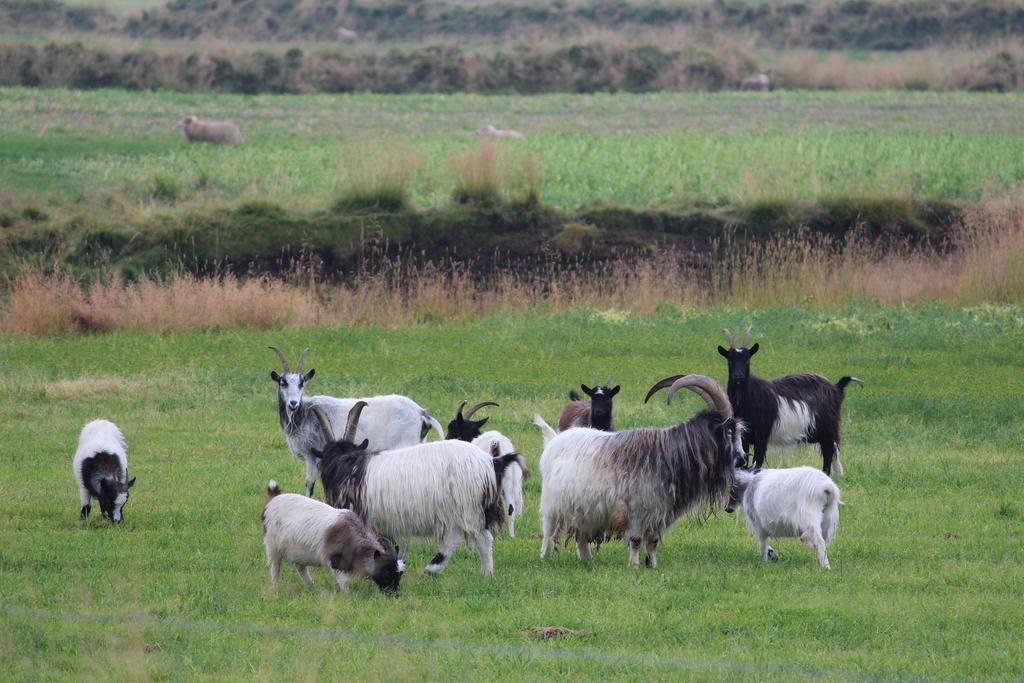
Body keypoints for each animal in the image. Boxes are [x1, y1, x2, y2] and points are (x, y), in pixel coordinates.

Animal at [260, 481, 403, 593]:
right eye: (387, 571)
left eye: (399, 573)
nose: (394, 594)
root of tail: (273, 499)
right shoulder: (335, 561)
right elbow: (344, 582)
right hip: (272, 547)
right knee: (275, 569)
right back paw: (275, 589)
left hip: (297, 551)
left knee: (301, 568)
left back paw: (311, 587)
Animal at [268, 348, 444, 497]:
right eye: (283, 383)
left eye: (301, 383)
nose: (293, 403)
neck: (304, 414)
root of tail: (422, 414)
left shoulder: (311, 455)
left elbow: (310, 484)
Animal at [309, 403, 520, 581]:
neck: (347, 465)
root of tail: (491, 462)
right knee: (479, 540)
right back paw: (485, 574)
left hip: (463, 508)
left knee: (469, 540)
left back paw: (435, 569)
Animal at [536, 376, 745, 569]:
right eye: (728, 431)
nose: (743, 459)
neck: (671, 454)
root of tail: (555, 440)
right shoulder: (636, 509)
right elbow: (636, 540)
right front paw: (634, 566)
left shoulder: (659, 512)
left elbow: (652, 541)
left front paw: (652, 565)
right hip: (552, 504)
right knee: (548, 531)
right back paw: (545, 557)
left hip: (585, 509)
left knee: (582, 535)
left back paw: (587, 560)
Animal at [712, 327, 864, 479]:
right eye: (729, 360)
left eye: (747, 359)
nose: (738, 377)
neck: (750, 396)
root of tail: (836, 387)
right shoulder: (743, 436)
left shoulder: (762, 434)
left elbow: (757, 462)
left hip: (828, 429)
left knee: (828, 454)